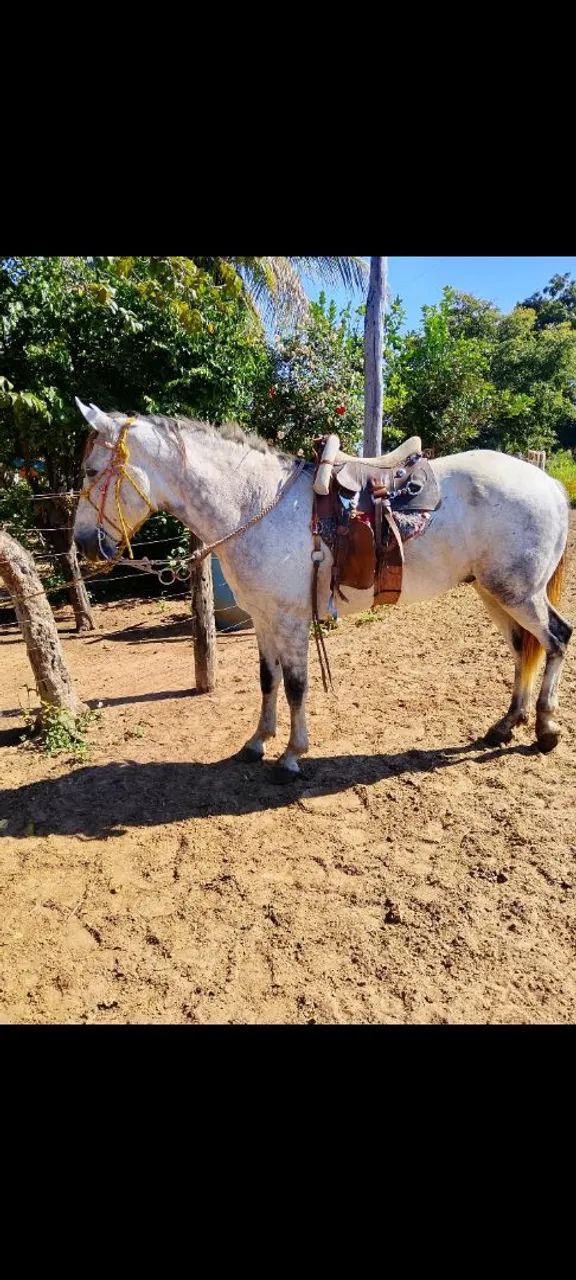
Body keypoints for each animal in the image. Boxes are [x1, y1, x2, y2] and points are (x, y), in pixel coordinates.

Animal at [73, 400, 573, 780]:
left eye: (91, 470)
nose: (83, 543)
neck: (255, 503)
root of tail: (547, 481)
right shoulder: (263, 618)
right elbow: (268, 679)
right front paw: (257, 742)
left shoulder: (291, 620)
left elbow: (296, 685)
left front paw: (293, 755)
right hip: (494, 592)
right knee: (522, 648)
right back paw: (505, 725)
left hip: (519, 593)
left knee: (556, 639)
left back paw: (545, 729)